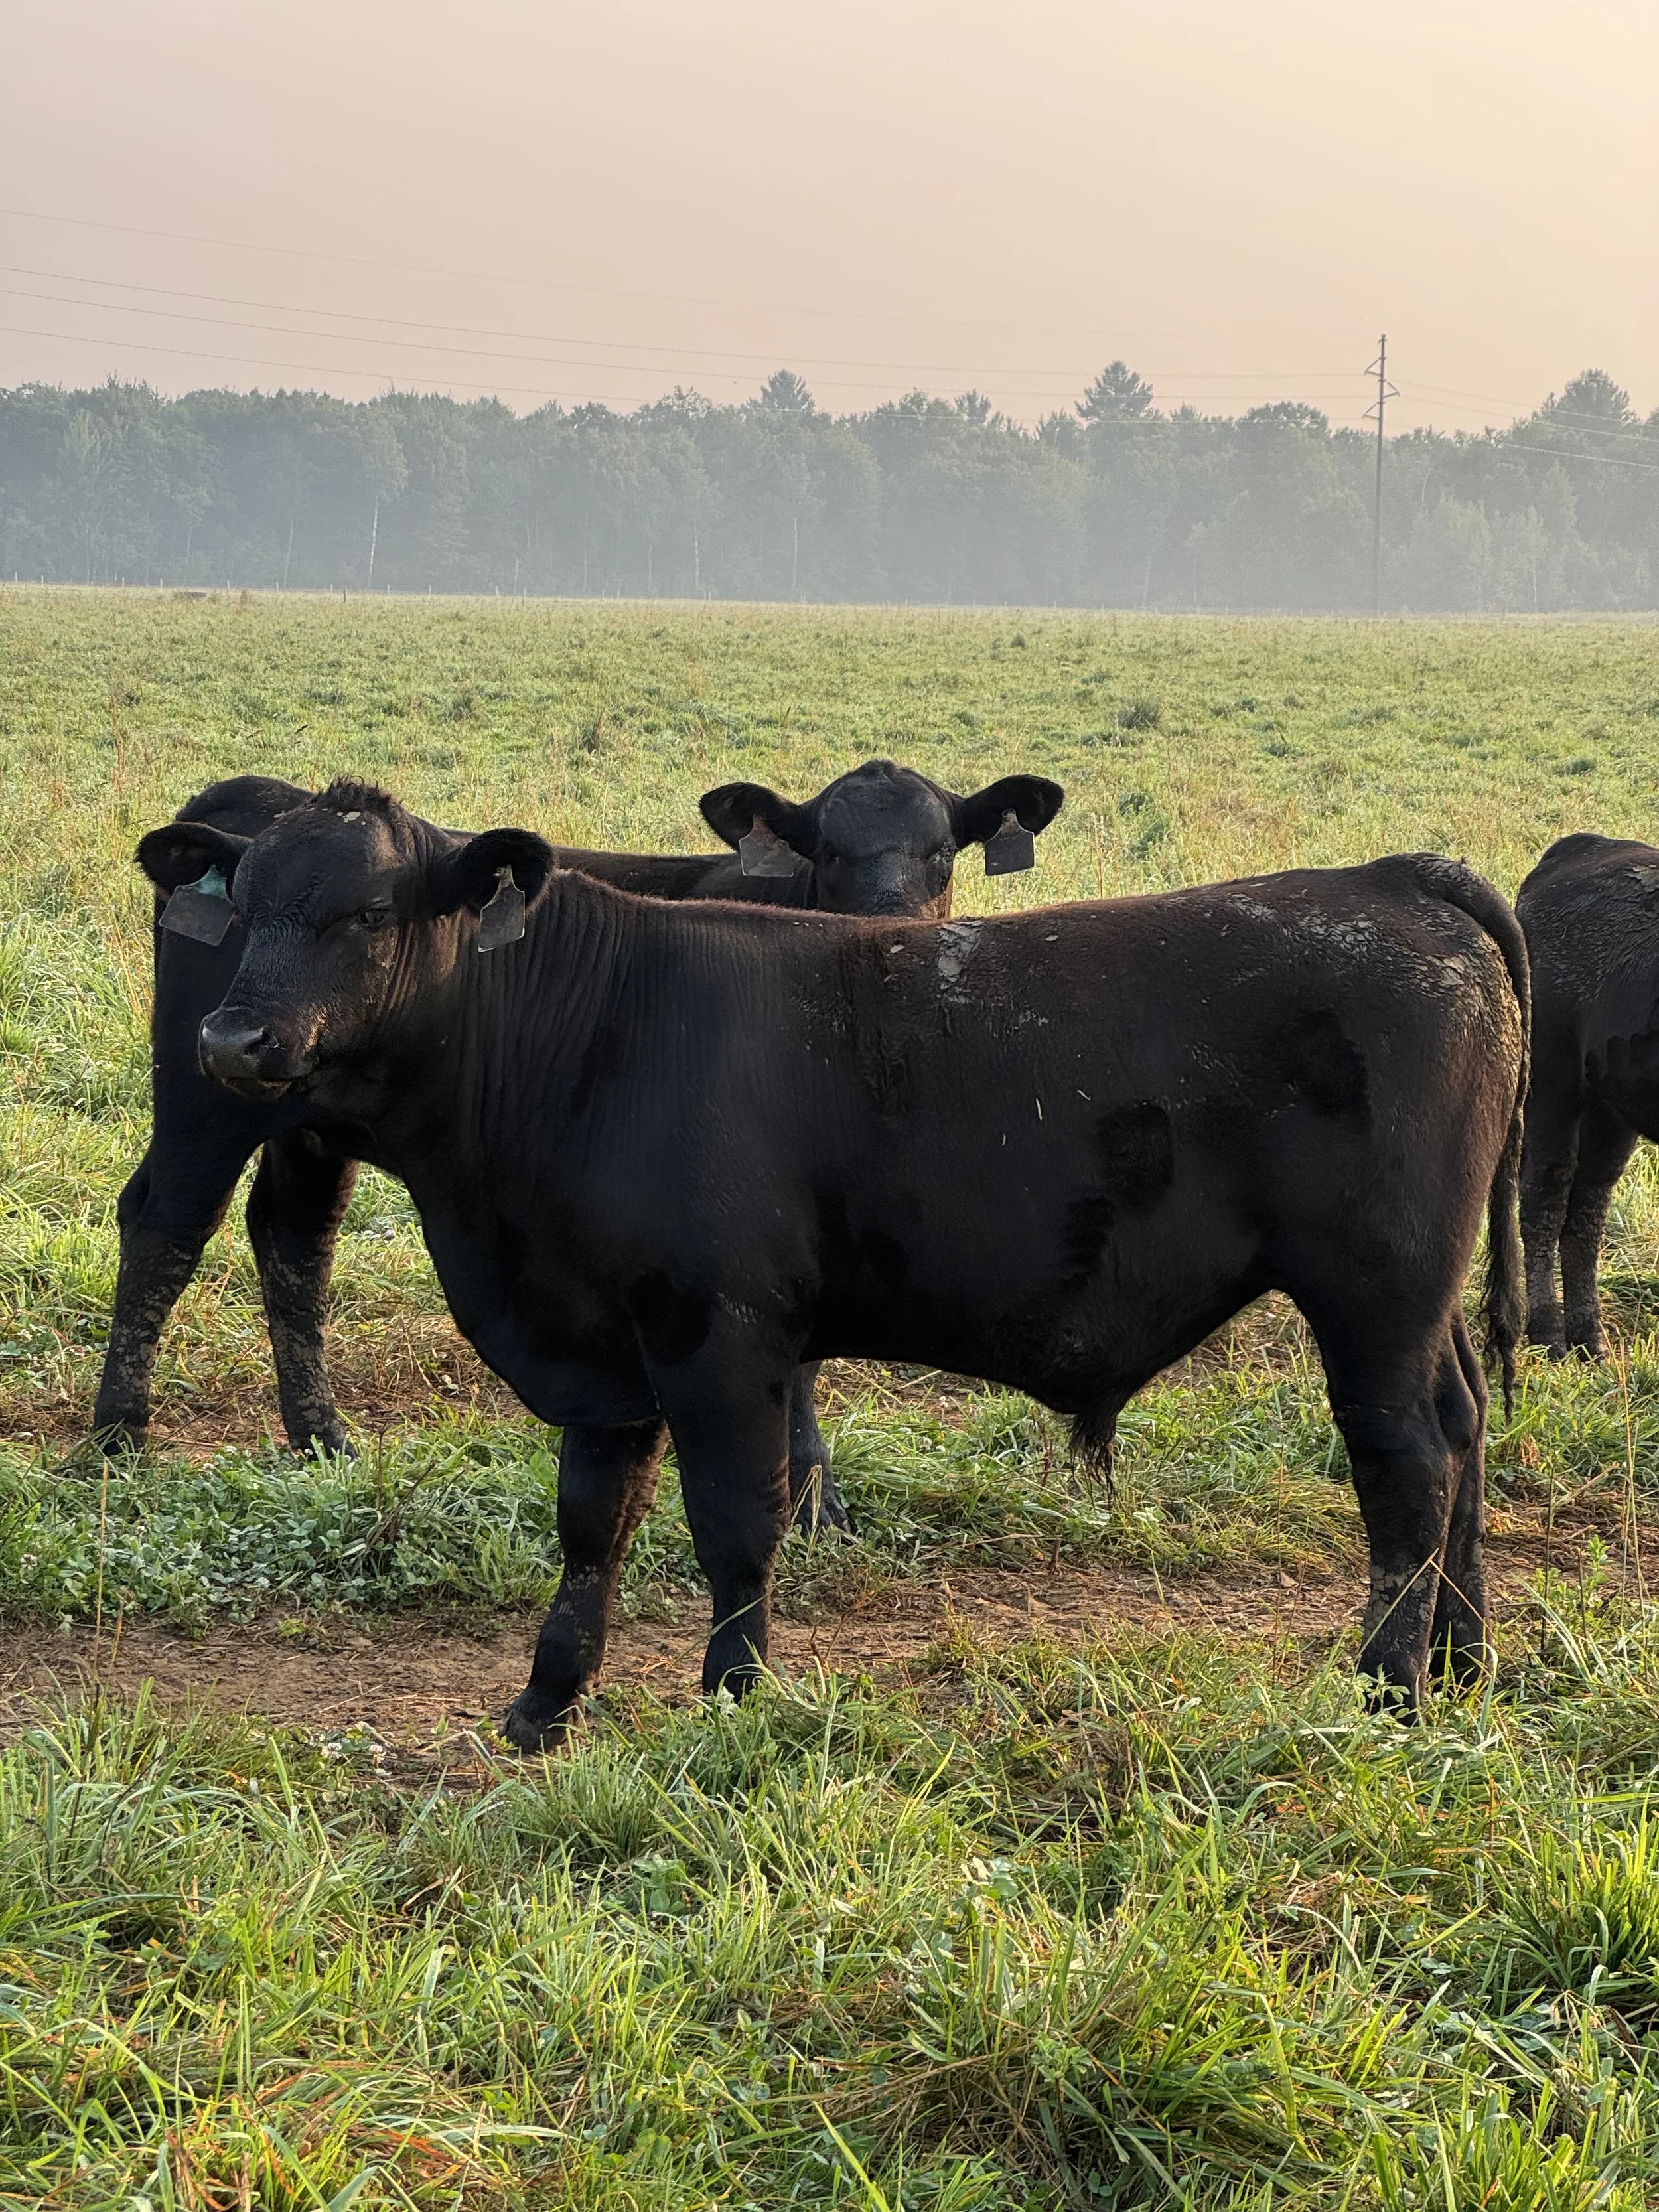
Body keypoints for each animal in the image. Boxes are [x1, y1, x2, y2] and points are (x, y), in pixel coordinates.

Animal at [94, 760, 1063, 1537]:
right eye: (825, 851)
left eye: (942, 853)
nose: (890, 921)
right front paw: (806, 1497)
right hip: (204, 1099)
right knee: (166, 1225)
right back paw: (117, 1437)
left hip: (302, 1118)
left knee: (294, 1238)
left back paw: (321, 1437)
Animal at [1515, 831, 1659, 1359]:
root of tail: (1589, 845)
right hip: (1553, 1084)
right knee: (1546, 1194)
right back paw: (1548, 1330)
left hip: (1611, 1110)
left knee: (1588, 1204)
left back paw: (1589, 1333)